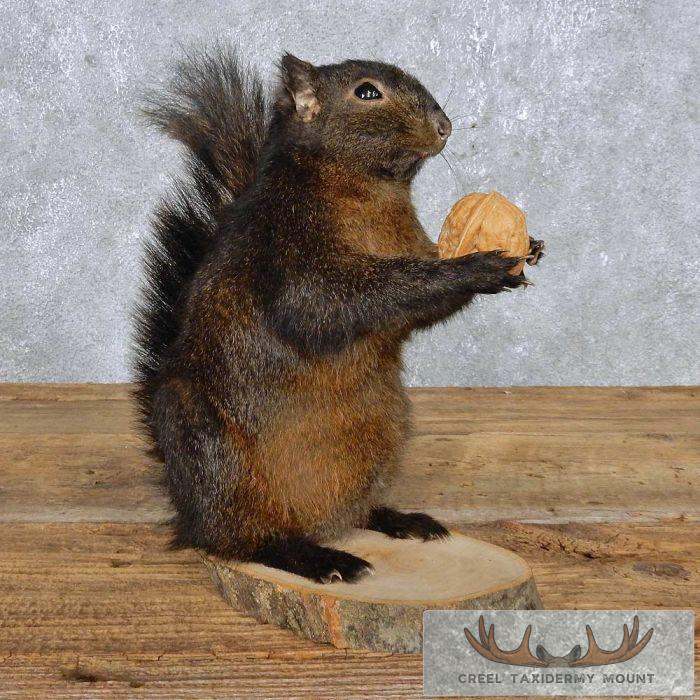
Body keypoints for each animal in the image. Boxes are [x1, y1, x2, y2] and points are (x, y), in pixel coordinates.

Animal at [134, 45, 541, 584]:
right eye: (366, 92)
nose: (445, 126)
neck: (370, 186)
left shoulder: (412, 242)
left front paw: (526, 251)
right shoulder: (287, 248)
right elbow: (331, 302)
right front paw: (473, 268)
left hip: (382, 437)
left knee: (355, 512)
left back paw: (398, 519)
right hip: (218, 459)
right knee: (242, 541)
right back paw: (319, 558)